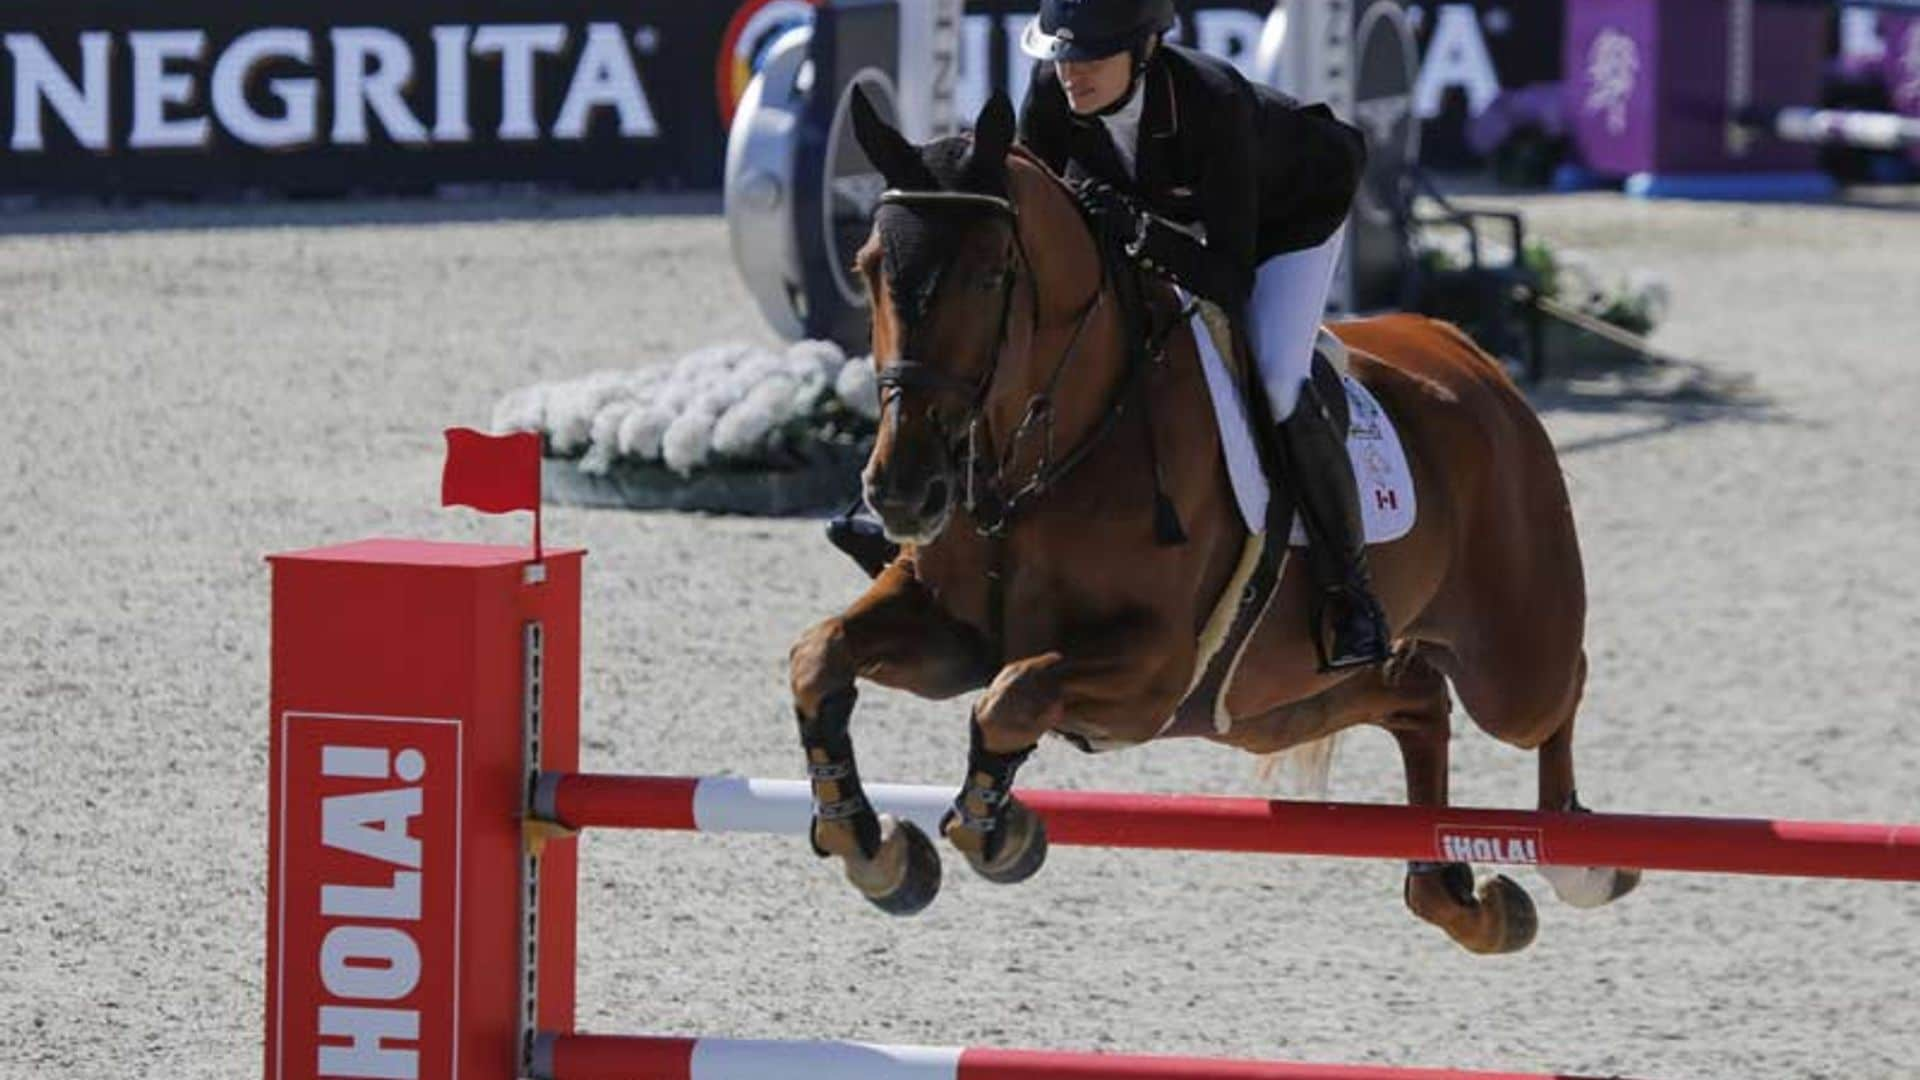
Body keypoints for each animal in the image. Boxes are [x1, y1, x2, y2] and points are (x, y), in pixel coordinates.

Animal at [787, 94, 1643, 949]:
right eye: (867, 268)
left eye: (990, 274)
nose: (903, 491)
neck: (1039, 455)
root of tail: (1472, 357)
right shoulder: (955, 637)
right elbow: (820, 655)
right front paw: (872, 846)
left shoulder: (1153, 671)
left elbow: (1011, 695)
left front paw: (997, 833)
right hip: (1271, 703)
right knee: (1419, 700)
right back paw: (1462, 897)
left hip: (1508, 665)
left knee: (1556, 691)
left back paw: (1584, 862)